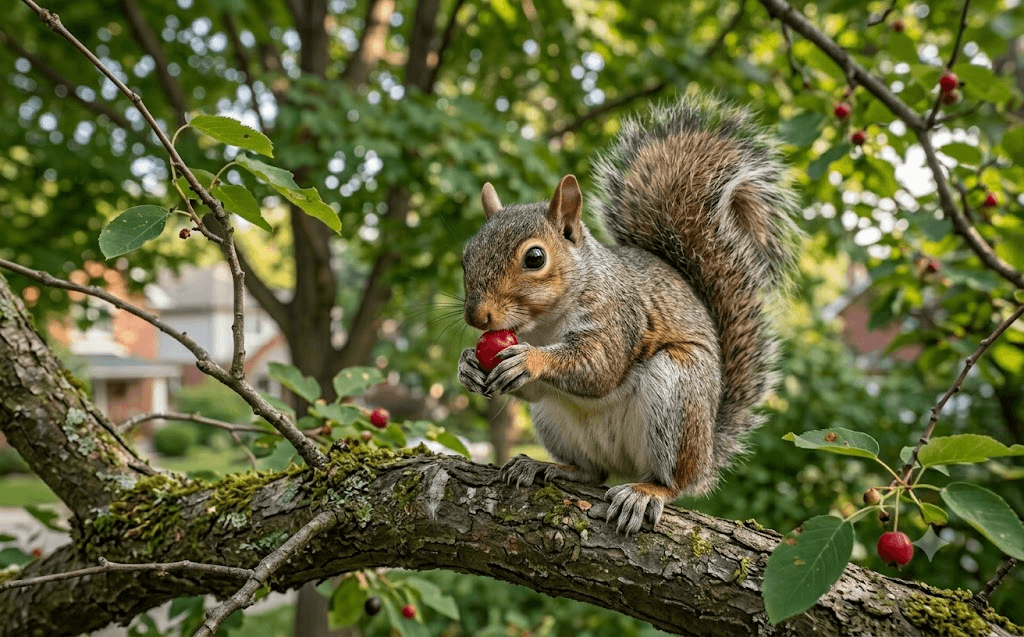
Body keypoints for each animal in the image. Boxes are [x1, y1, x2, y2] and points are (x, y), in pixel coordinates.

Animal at [457, 95, 798, 535]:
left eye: (535, 258)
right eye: (466, 256)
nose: (477, 317)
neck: (543, 325)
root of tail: (707, 451)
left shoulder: (620, 316)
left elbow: (600, 366)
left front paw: (531, 360)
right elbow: (532, 386)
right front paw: (467, 364)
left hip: (678, 389)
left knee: (674, 481)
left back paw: (646, 492)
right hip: (554, 420)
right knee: (593, 471)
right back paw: (548, 467)